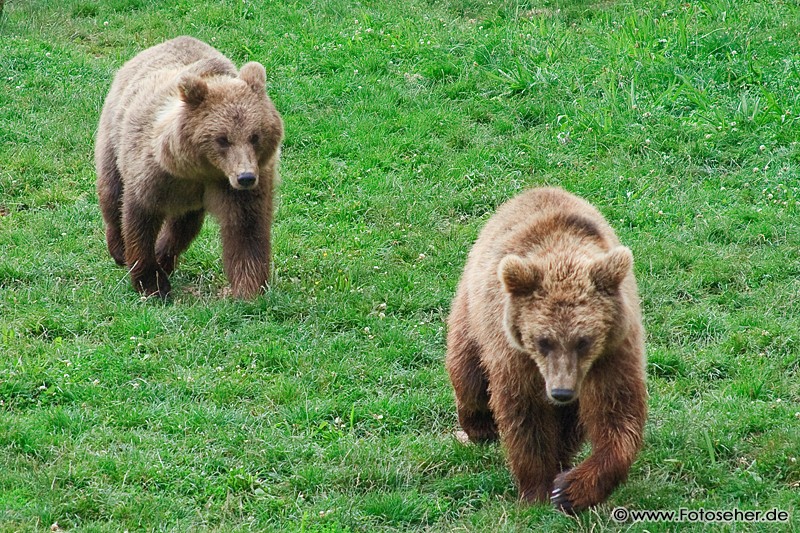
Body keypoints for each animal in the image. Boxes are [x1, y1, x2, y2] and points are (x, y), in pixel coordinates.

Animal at [94, 35, 284, 298]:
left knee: (184, 226)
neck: (201, 170)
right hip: (113, 133)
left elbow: (246, 231)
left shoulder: (238, 188)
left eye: (255, 136)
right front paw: (152, 283)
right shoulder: (153, 174)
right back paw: (119, 249)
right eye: (222, 139)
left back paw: (164, 256)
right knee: (112, 191)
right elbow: (139, 218)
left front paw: (248, 290)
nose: (245, 177)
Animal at [446, 186, 648, 512]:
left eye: (584, 340)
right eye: (543, 340)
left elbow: (616, 414)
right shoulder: (516, 356)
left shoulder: (611, 352)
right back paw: (479, 426)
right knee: (468, 374)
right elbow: (525, 416)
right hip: (472, 312)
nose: (561, 392)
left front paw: (569, 489)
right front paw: (537, 489)